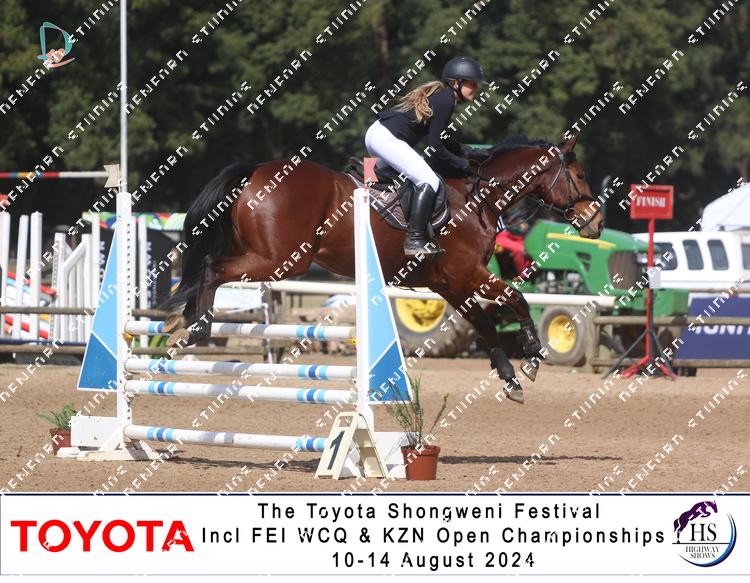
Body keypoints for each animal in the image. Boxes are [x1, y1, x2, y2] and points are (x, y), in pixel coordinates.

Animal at [163, 133, 603, 404]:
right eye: (580, 175)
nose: (596, 223)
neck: (477, 197)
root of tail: (255, 171)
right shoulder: (469, 275)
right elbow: (519, 299)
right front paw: (532, 355)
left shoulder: (452, 284)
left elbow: (485, 324)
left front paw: (510, 377)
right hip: (280, 260)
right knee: (212, 268)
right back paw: (193, 328)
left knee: (205, 268)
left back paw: (179, 322)